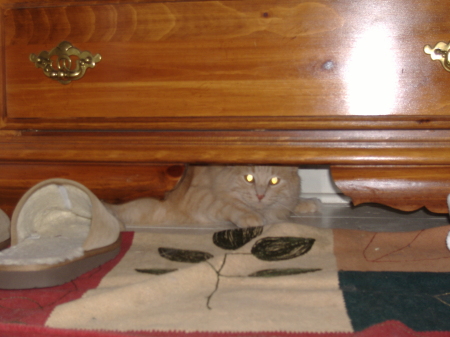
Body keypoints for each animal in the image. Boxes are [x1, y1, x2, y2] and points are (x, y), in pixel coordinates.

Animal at [104, 164, 320, 227]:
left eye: (274, 181)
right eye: (249, 178)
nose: (260, 195)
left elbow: (290, 204)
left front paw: (309, 202)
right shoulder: (202, 199)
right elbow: (232, 206)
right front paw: (252, 217)